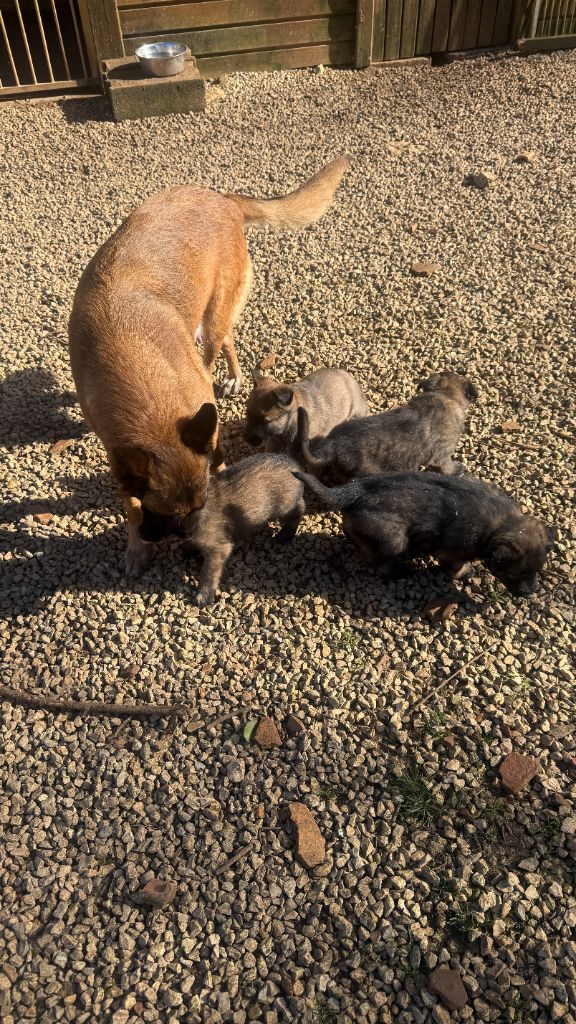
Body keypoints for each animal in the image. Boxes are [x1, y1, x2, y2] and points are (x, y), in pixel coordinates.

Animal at [69, 157, 348, 577]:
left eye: (202, 505)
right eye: (167, 515)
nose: (190, 531)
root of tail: (222, 198)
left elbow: (214, 458)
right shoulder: (119, 455)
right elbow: (130, 505)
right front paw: (136, 548)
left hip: (213, 316)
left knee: (220, 343)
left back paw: (231, 377)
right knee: (229, 339)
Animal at [139, 452, 305, 602]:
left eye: (158, 519)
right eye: (144, 512)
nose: (140, 535)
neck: (200, 513)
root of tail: (293, 462)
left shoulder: (218, 550)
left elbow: (209, 573)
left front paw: (204, 594)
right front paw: (189, 548)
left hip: (284, 506)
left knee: (299, 508)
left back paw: (286, 533)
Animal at [295, 468, 553, 598]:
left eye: (537, 570)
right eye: (515, 573)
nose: (530, 594)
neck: (501, 524)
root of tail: (355, 491)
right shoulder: (452, 552)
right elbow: (456, 566)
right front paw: (465, 573)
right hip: (393, 539)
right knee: (374, 558)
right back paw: (399, 569)